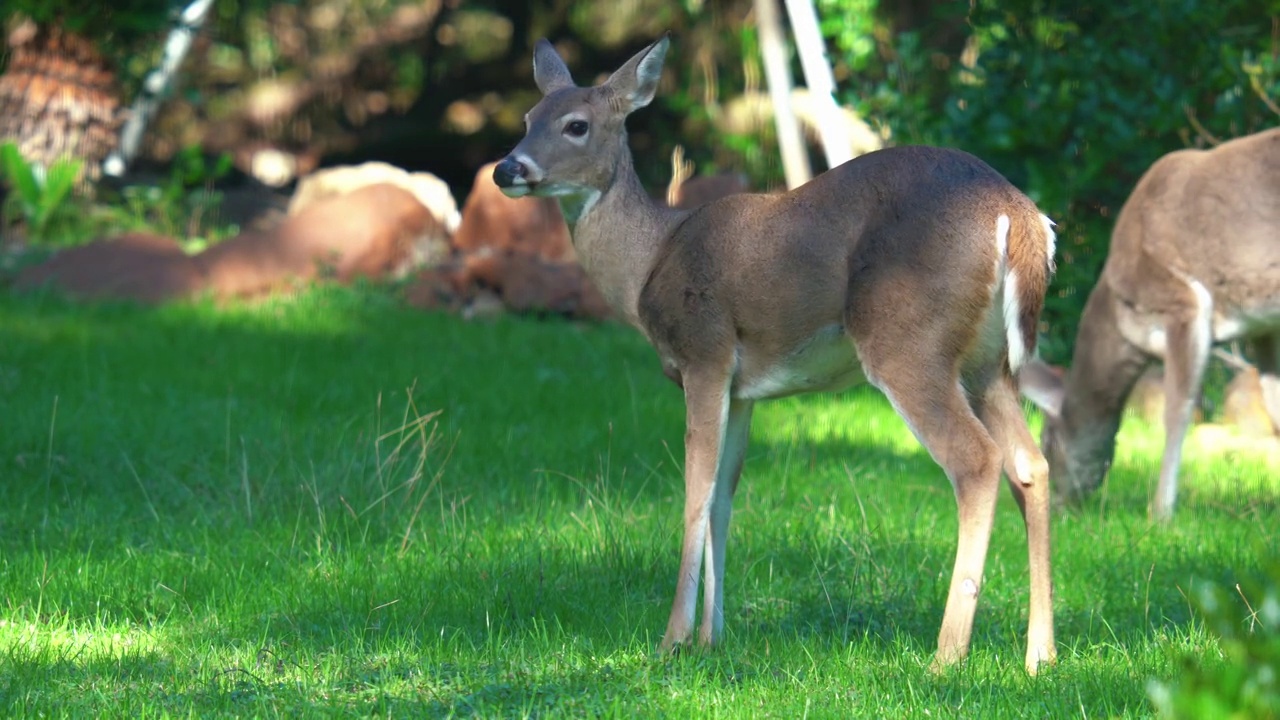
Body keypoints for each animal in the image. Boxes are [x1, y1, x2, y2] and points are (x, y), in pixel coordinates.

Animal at [488, 35, 1059, 671]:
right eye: (527, 118)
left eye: (576, 125)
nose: (507, 168)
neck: (650, 259)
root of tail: (1021, 217)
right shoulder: (743, 389)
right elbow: (723, 496)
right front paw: (711, 639)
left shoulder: (704, 352)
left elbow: (695, 491)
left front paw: (672, 640)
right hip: (988, 363)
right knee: (1030, 464)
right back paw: (1041, 655)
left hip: (907, 338)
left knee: (977, 460)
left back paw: (947, 656)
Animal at [1018, 127, 1280, 520]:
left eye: (1047, 441)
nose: (1058, 506)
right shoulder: (1263, 327)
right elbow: (1274, 399)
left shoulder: (1183, 302)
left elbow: (1178, 410)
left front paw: (1160, 512)